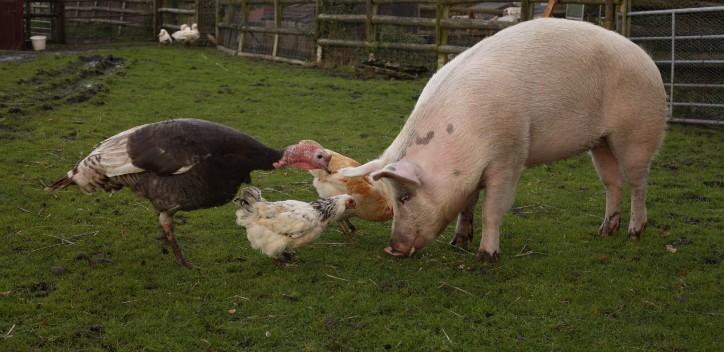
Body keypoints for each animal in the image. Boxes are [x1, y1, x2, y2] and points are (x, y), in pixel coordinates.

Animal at [340, 18, 668, 262]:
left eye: (406, 196)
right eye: (393, 197)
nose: (392, 248)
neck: (463, 140)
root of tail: (649, 61)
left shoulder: (509, 158)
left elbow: (492, 209)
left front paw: (486, 257)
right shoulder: (471, 174)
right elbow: (467, 204)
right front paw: (458, 243)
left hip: (638, 134)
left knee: (639, 184)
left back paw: (634, 233)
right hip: (600, 142)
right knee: (612, 182)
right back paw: (604, 232)